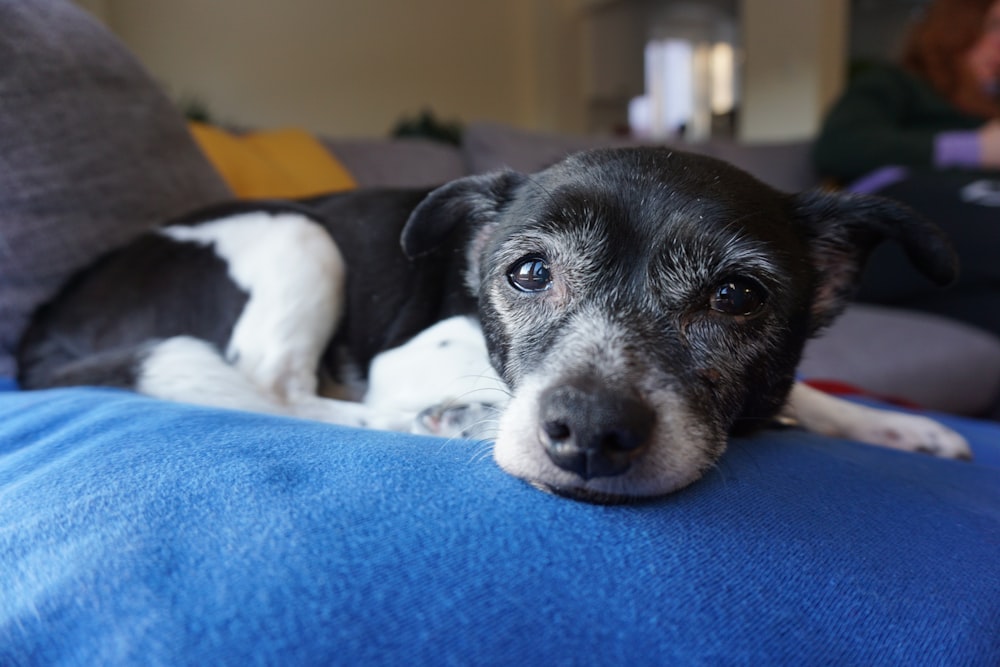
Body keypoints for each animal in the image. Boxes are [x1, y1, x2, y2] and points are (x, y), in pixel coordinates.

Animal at [15, 149, 968, 504]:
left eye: (738, 296)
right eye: (529, 273)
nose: (589, 432)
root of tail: (42, 329)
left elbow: (809, 393)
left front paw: (900, 426)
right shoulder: (411, 356)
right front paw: (464, 412)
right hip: (296, 233)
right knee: (275, 390)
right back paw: (427, 422)